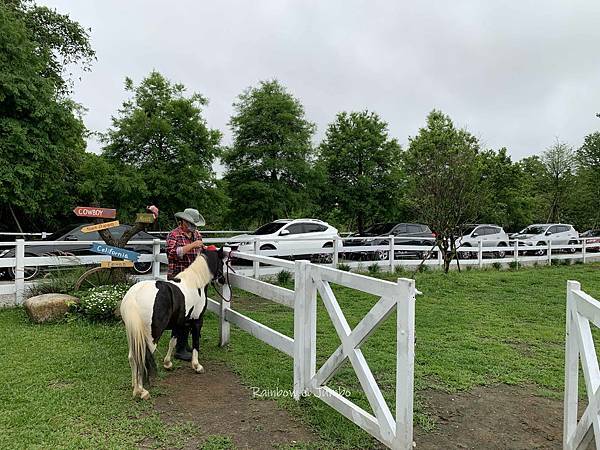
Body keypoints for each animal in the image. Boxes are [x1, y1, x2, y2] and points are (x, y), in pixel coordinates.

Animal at [119, 248, 225, 400]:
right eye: (222, 262)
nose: (223, 280)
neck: (195, 282)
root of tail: (134, 296)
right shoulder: (197, 321)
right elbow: (196, 343)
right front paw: (197, 366)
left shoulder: (178, 323)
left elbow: (173, 342)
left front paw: (168, 363)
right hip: (151, 337)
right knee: (142, 358)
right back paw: (142, 391)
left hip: (132, 334)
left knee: (133, 357)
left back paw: (135, 387)